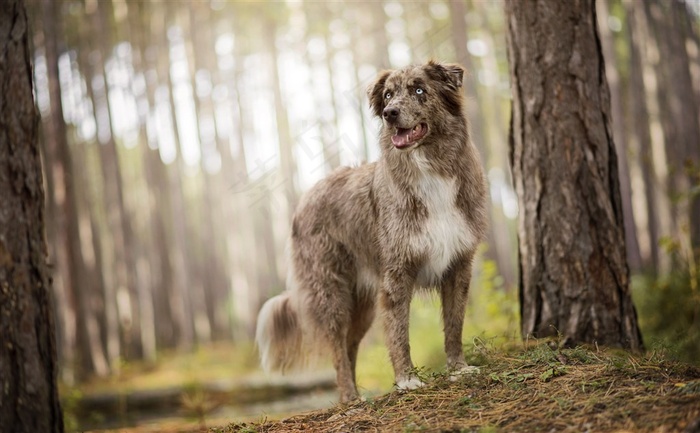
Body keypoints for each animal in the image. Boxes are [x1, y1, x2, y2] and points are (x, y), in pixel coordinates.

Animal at [254, 60, 490, 402]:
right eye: (388, 94)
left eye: (419, 90)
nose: (390, 113)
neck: (429, 169)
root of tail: (304, 199)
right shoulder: (396, 274)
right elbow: (399, 331)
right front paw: (407, 380)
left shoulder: (458, 266)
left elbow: (454, 323)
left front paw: (458, 368)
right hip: (332, 294)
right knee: (337, 347)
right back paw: (349, 398)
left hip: (362, 304)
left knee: (350, 345)